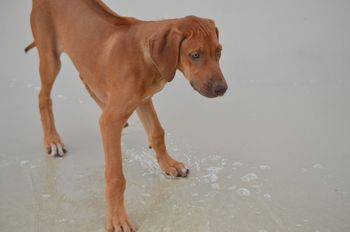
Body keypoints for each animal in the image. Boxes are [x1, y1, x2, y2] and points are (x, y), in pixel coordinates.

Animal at [24, 0, 227, 231]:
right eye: (195, 55)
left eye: (219, 52)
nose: (223, 89)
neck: (146, 57)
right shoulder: (111, 120)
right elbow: (116, 177)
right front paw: (117, 217)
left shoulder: (144, 100)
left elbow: (157, 132)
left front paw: (169, 164)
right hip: (49, 57)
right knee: (44, 96)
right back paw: (52, 140)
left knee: (86, 79)